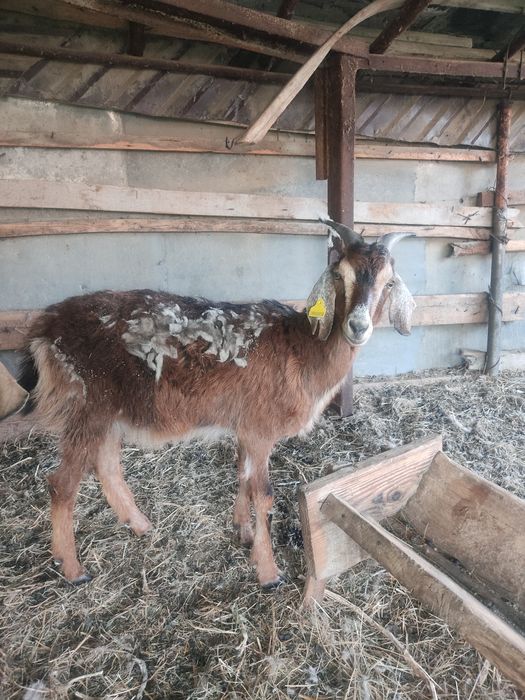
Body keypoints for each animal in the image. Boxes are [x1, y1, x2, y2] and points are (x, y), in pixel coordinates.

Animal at [13, 220, 415, 588]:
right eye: (340, 275)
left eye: (388, 282)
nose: (358, 326)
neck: (301, 350)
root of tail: (46, 326)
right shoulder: (260, 428)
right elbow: (263, 494)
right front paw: (268, 573)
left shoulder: (245, 425)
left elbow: (243, 477)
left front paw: (244, 532)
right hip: (87, 401)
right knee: (62, 483)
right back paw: (72, 568)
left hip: (111, 410)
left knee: (108, 467)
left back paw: (140, 525)